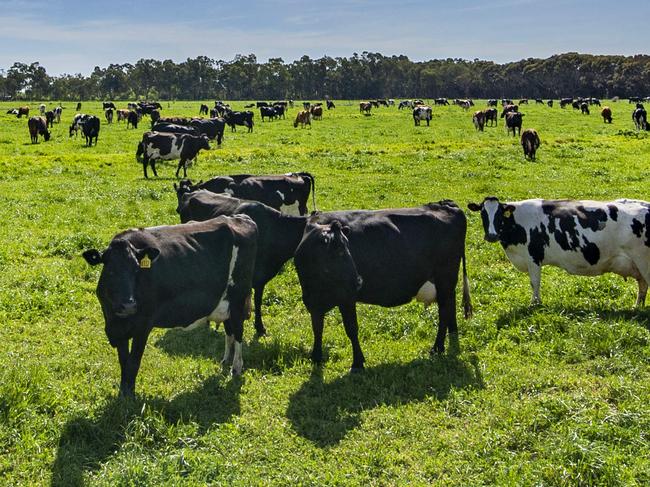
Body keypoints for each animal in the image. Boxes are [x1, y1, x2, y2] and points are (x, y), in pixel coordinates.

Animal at [83, 217, 258, 396]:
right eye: (110, 270)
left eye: (136, 270)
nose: (129, 305)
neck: (116, 319)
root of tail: (239, 218)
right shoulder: (117, 329)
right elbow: (124, 361)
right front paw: (123, 392)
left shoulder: (143, 326)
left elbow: (133, 362)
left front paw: (129, 396)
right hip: (226, 304)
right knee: (229, 331)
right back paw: (225, 361)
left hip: (238, 300)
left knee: (238, 332)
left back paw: (236, 368)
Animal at [294, 201, 470, 370]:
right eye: (338, 252)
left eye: (347, 249)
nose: (358, 281)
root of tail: (444, 204)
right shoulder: (312, 301)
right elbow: (317, 328)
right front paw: (316, 357)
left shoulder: (347, 297)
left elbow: (351, 329)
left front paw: (357, 363)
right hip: (445, 282)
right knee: (450, 305)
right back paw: (452, 333)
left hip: (445, 277)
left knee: (444, 311)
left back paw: (437, 347)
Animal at [466, 197, 648, 304]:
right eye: (483, 213)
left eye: (499, 215)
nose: (491, 235)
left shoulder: (533, 257)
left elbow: (535, 282)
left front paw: (535, 304)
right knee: (643, 287)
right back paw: (636, 307)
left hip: (644, 260)